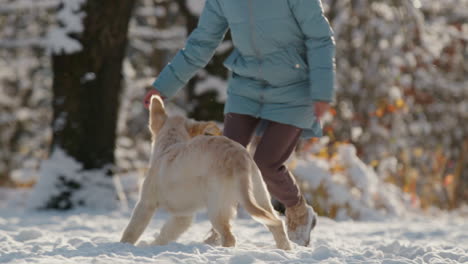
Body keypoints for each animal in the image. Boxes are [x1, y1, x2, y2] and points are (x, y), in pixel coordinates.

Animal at [119, 95, 290, 250]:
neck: (170, 144)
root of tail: (237, 157)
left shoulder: (145, 203)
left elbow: (132, 231)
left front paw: (124, 246)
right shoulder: (183, 216)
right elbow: (166, 232)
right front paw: (154, 245)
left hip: (217, 207)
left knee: (229, 236)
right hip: (261, 197)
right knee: (278, 224)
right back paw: (285, 249)